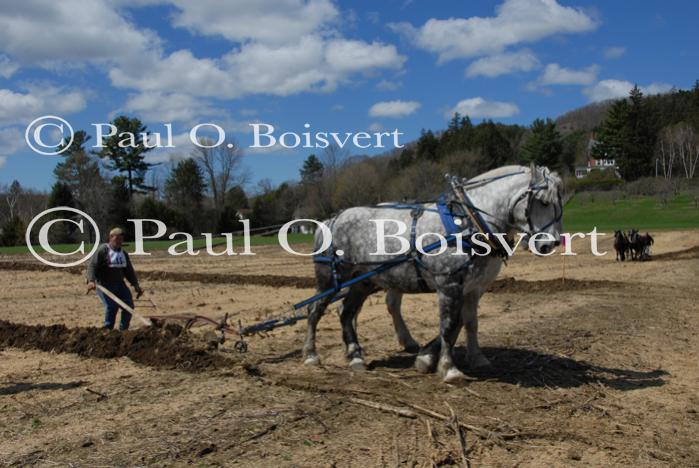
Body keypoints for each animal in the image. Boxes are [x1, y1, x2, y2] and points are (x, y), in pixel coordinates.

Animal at [300, 165, 564, 384]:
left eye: (559, 204)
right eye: (542, 202)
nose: (548, 245)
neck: (467, 222)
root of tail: (331, 219)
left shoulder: (473, 289)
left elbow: (468, 323)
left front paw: (472, 357)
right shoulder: (449, 284)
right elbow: (448, 325)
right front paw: (448, 368)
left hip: (364, 282)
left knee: (346, 312)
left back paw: (355, 355)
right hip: (329, 279)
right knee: (314, 310)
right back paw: (311, 354)